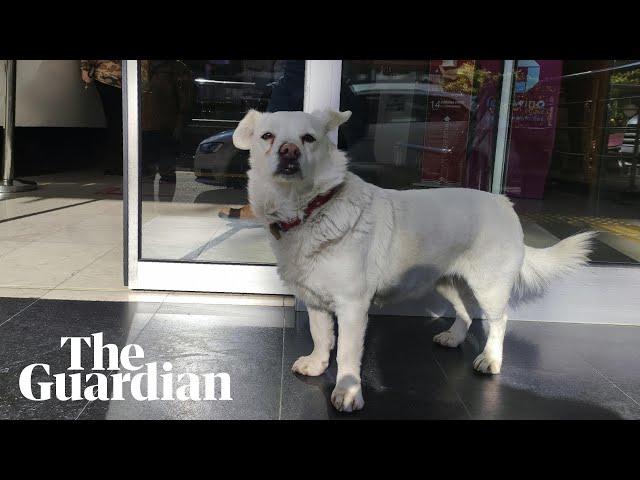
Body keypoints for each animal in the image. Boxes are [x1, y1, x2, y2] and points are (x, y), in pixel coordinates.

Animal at [234, 109, 596, 412]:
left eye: (308, 138)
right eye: (267, 136)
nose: (289, 151)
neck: (309, 209)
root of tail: (505, 202)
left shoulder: (352, 306)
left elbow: (348, 354)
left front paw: (348, 393)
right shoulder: (315, 300)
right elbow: (321, 336)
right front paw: (317, 364)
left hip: (489, 286)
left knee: (498, 321)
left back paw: (490, 359)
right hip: (445, 281)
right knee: (466, 312)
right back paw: (453, 338)